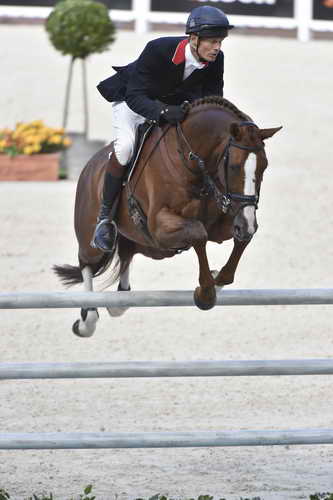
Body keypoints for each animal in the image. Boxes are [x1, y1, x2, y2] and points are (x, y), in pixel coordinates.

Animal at [53, 95, 280, 338]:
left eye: (264, 167)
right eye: (235, 166)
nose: (247, 223)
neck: (191, 161)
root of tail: (90, 165)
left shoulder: (224, 223)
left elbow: (238, 241)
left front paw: (217, 278)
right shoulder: (160, 226)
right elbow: (198, 233)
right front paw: (205, 293)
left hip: (148, 247)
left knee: (125, 260)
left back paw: (118, 303)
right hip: (95, 240)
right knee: (87, 263)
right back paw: (87, 320)